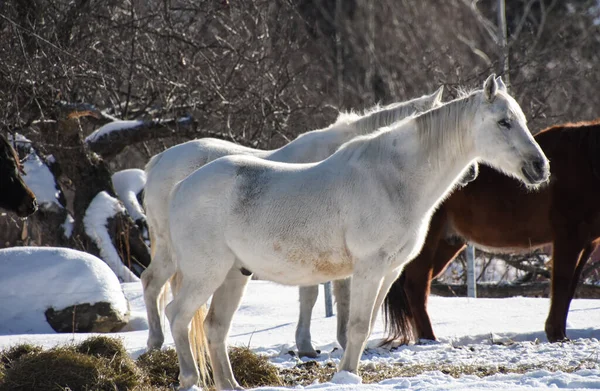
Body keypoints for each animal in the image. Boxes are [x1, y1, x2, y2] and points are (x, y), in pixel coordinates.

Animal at [139, 88, 440, 352]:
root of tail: (160, 160)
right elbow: (328, 296)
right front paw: (324, 344)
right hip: (173, 249)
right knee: (152, 282)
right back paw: (155, 341)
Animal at [382, 118, 600, 344]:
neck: (587, 163)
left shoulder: (588, 243)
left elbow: (571, 288)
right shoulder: (568, 238)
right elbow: (562, 285)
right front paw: (556, 335)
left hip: (446, 243)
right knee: (416, 286)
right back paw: (429, 339)